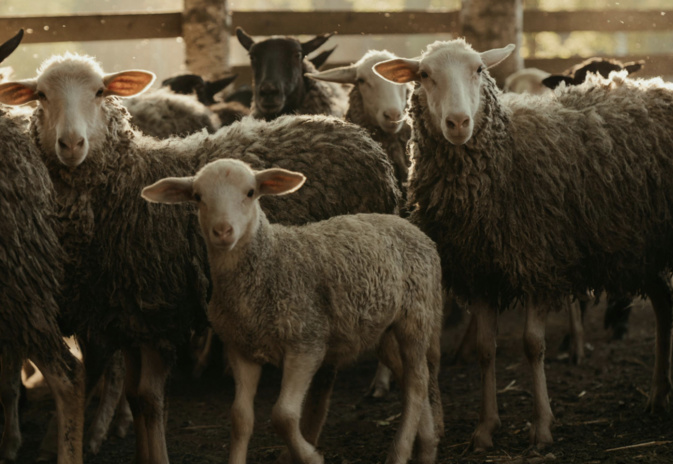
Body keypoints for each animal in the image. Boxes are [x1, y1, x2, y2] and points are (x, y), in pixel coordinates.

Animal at [0, 52, 400, 462]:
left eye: (99, 91)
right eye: (41, 95)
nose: (70, 144)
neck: (125, 187)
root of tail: (355, 134)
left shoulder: (160, 310)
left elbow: (149, 398)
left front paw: (157, 455)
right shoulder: (127, 312)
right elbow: (133, 394)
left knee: (326, 376)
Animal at [141, 159, 444, 464]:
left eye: (250, 192)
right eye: (198, 197)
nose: (223, 231)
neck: (268, 264)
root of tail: (408, 224)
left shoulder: (306, 342)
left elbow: (283, 416)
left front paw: (311, 456)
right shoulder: (241, 350)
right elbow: (240, 418)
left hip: (416, 316)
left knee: (417, 383)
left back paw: (400, 451)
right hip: (382, 330)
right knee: (407, 377)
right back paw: (427, 445)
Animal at [376, 38, 672, 452]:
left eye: (479, 70)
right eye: (424, 75)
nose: (458, 123)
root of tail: (656, 85)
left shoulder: (537, 259)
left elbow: (533, 344)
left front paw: (542, 427)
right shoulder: (479, 271)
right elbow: (486, 348)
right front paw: (485, 428)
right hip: (639, 248)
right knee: (664, 303)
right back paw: (658, 394)